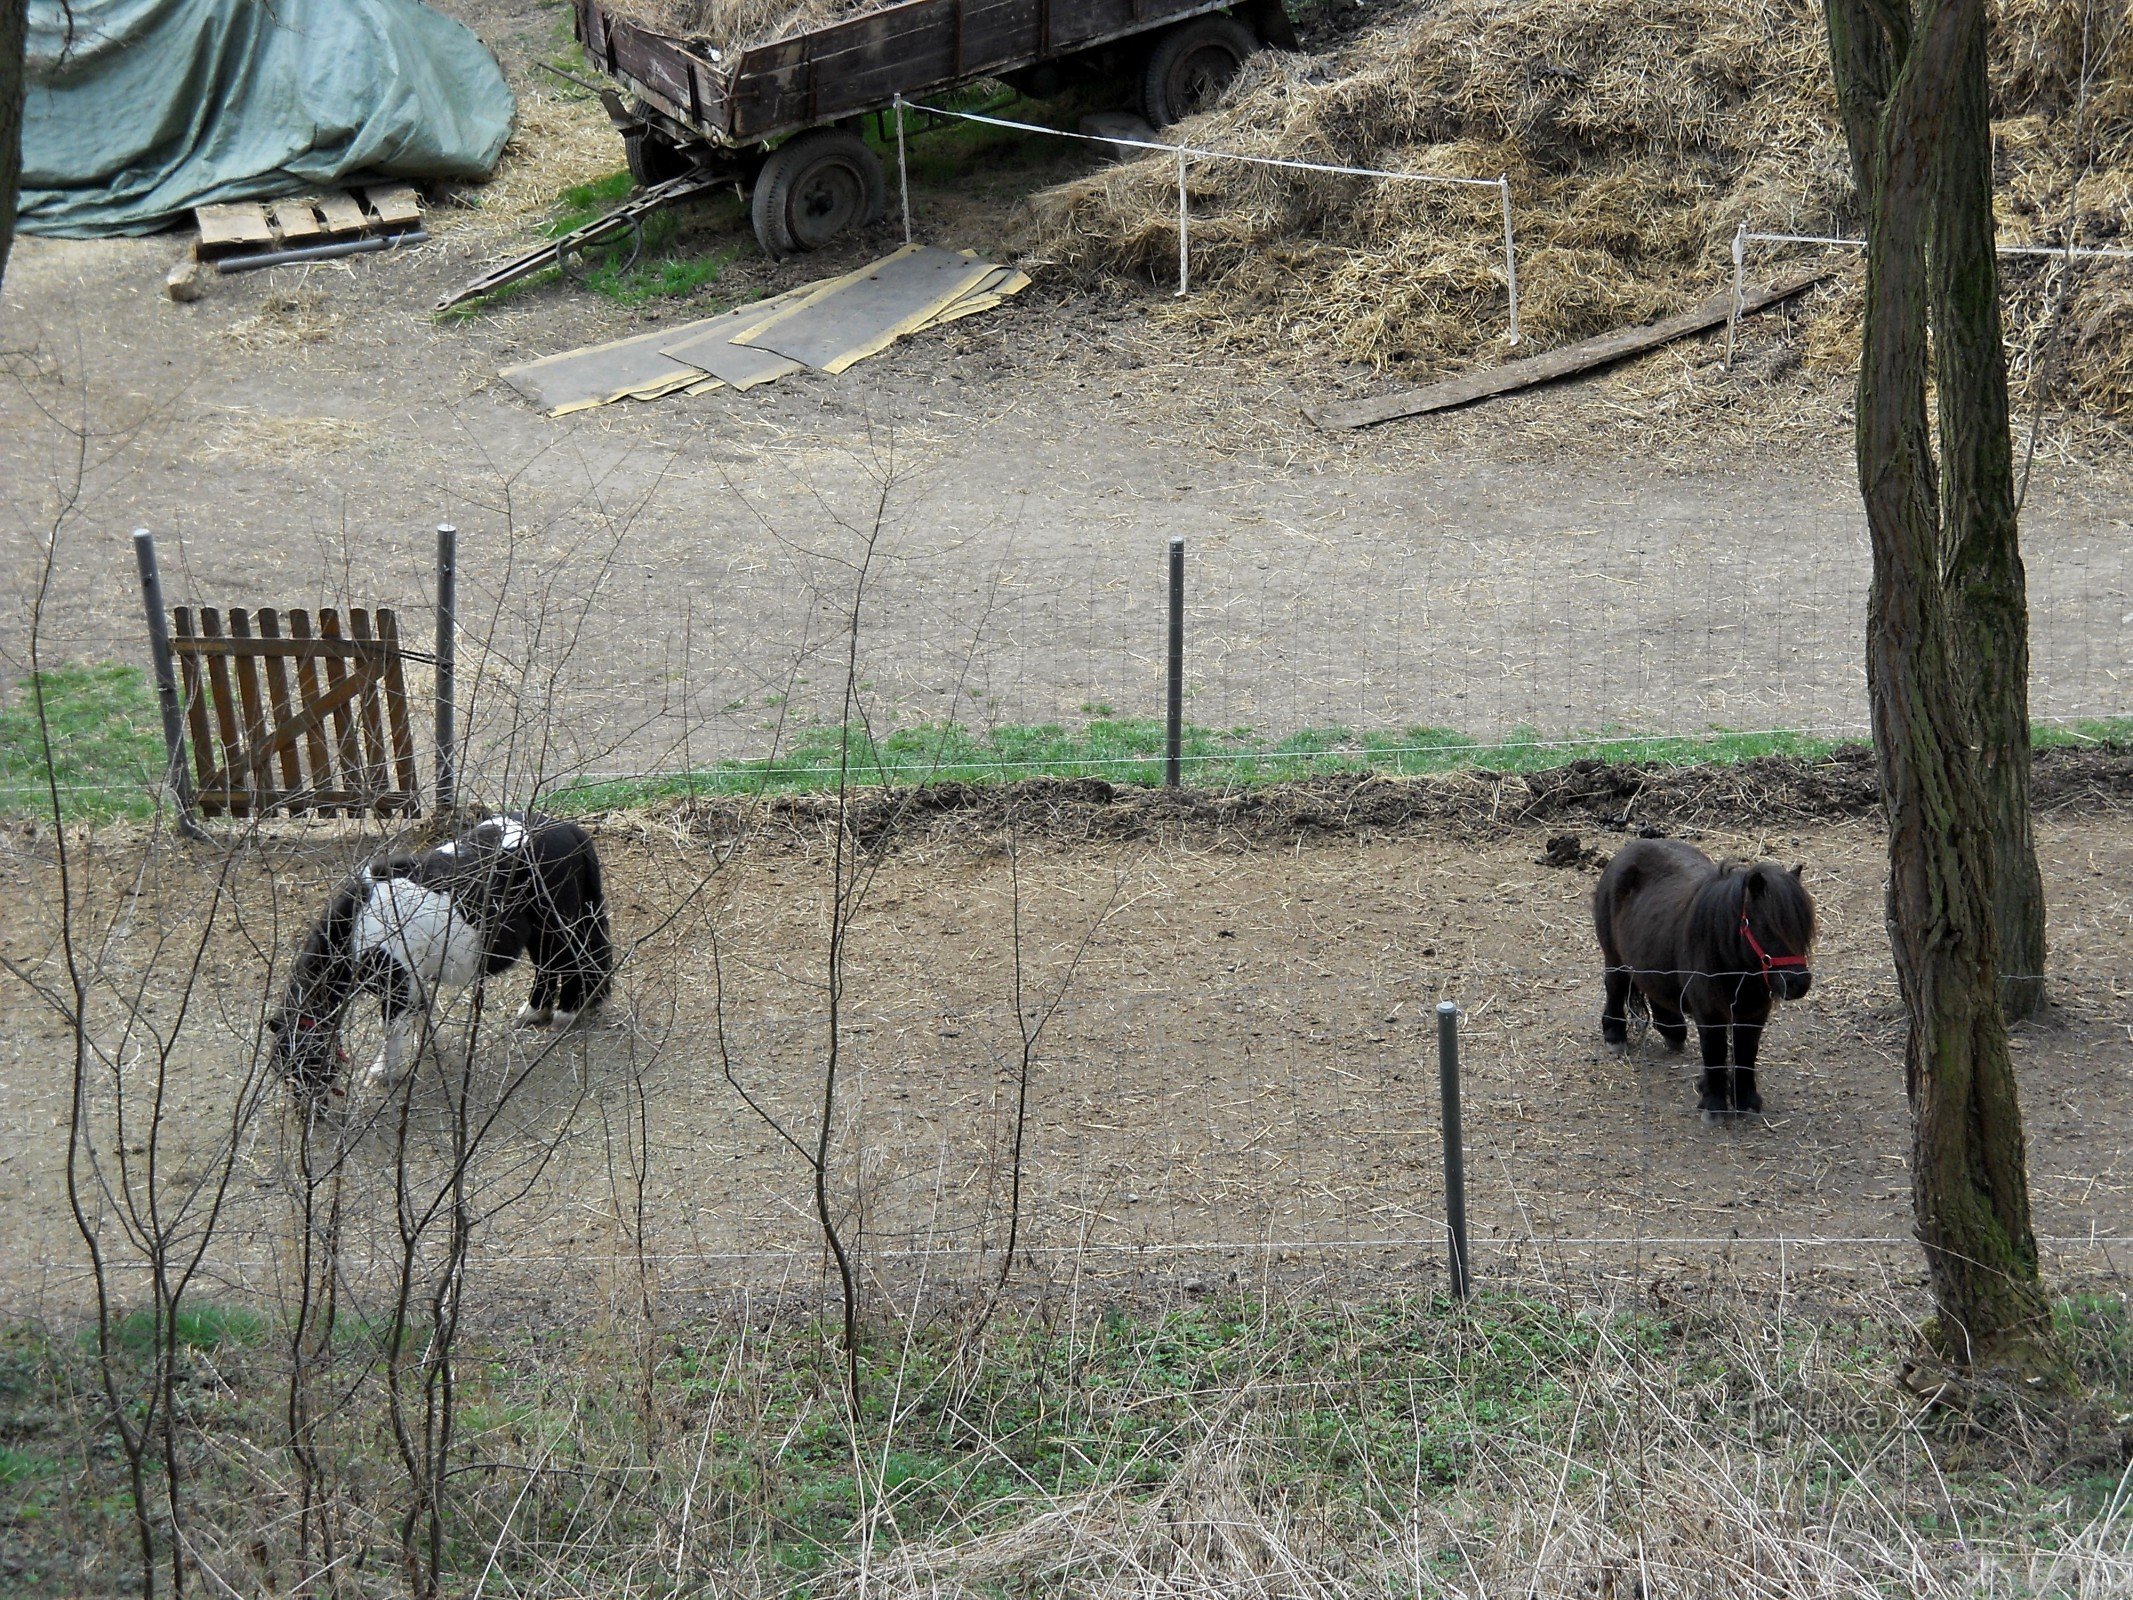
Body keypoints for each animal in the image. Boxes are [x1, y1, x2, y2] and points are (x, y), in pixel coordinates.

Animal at [268, 814, 610, 1100]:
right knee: (547, 966)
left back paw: (565, 1015)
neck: (360, 924)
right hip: (541, 931)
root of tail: (568, 829)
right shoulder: (414, 982)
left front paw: (386, 1072)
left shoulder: (398, 984)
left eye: (308, 1062)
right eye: (281, 1066)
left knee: (572, 963)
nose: (309, 1111)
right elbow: (419, 1015)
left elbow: (392, 1028)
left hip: (558, 923)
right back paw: (533, 1012)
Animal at [1586, 844, 1817, 1117]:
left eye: (1802, 928)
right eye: (1767, 926)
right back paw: (1615, 1036)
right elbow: (1714, 1052)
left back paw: (1673, 1031)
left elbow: (1746, 1053)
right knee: (1615, 987)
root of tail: (1626, 853)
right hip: (1614, 957)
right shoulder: (1710, 1013)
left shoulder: (1753, 1014)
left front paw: (1746, 1100)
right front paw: (1714, 1104)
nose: (1798, 984)